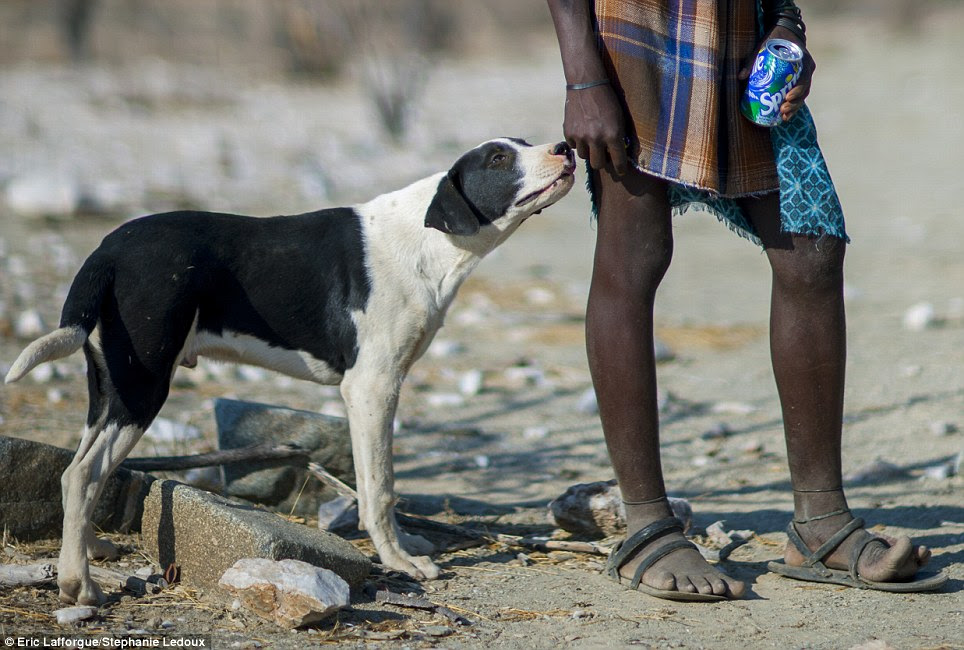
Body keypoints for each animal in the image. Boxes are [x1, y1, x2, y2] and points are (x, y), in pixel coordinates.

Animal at [5, 139, 572, 604]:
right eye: (498, 158)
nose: (566, 147)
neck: (426, 240)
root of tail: (108, 250)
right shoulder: (371, 388)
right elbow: (379, 487)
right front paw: (401, 562)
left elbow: (378, 487)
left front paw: (407, 546)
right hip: (143, 388)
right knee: (81, 473)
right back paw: (78, 585)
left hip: (110, 388)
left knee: (81, 471)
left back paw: (92, 549)